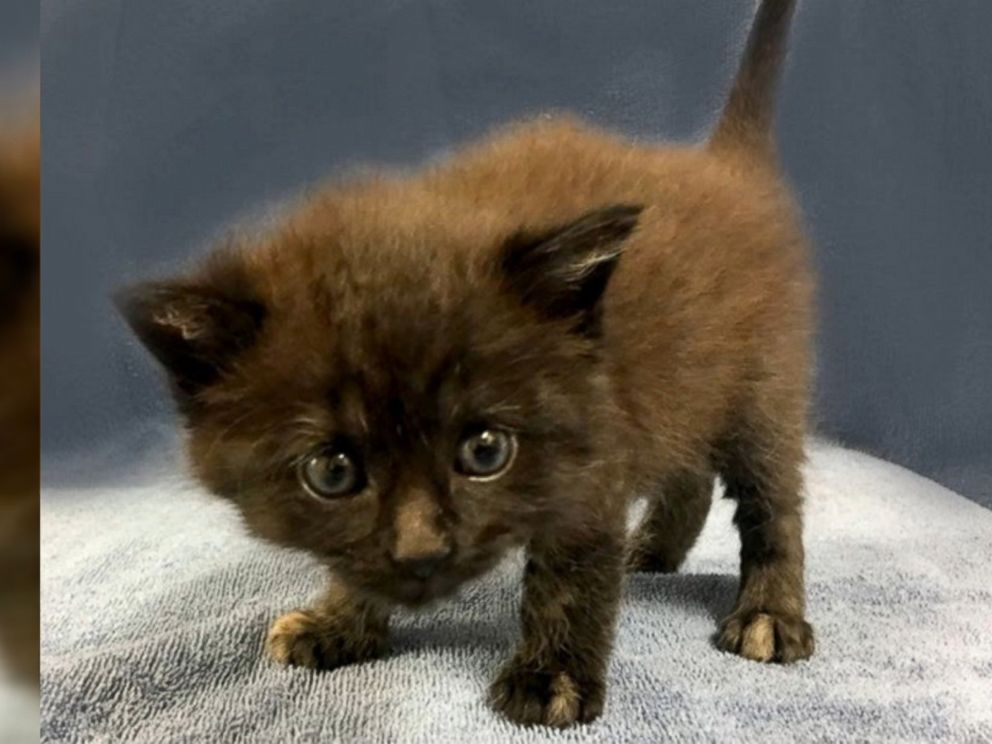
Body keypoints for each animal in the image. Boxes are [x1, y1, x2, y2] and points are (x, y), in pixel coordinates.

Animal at [118, 0, 812, 728]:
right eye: (331, 471)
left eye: (485, 451)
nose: (422, 550)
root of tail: (723, 167)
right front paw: (337, 624)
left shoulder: (593, 456)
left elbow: (570, 573)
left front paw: (551, 676)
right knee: (688, 468)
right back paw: (651, 549)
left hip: (763, 386)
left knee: (773, 501)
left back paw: (768, 613)